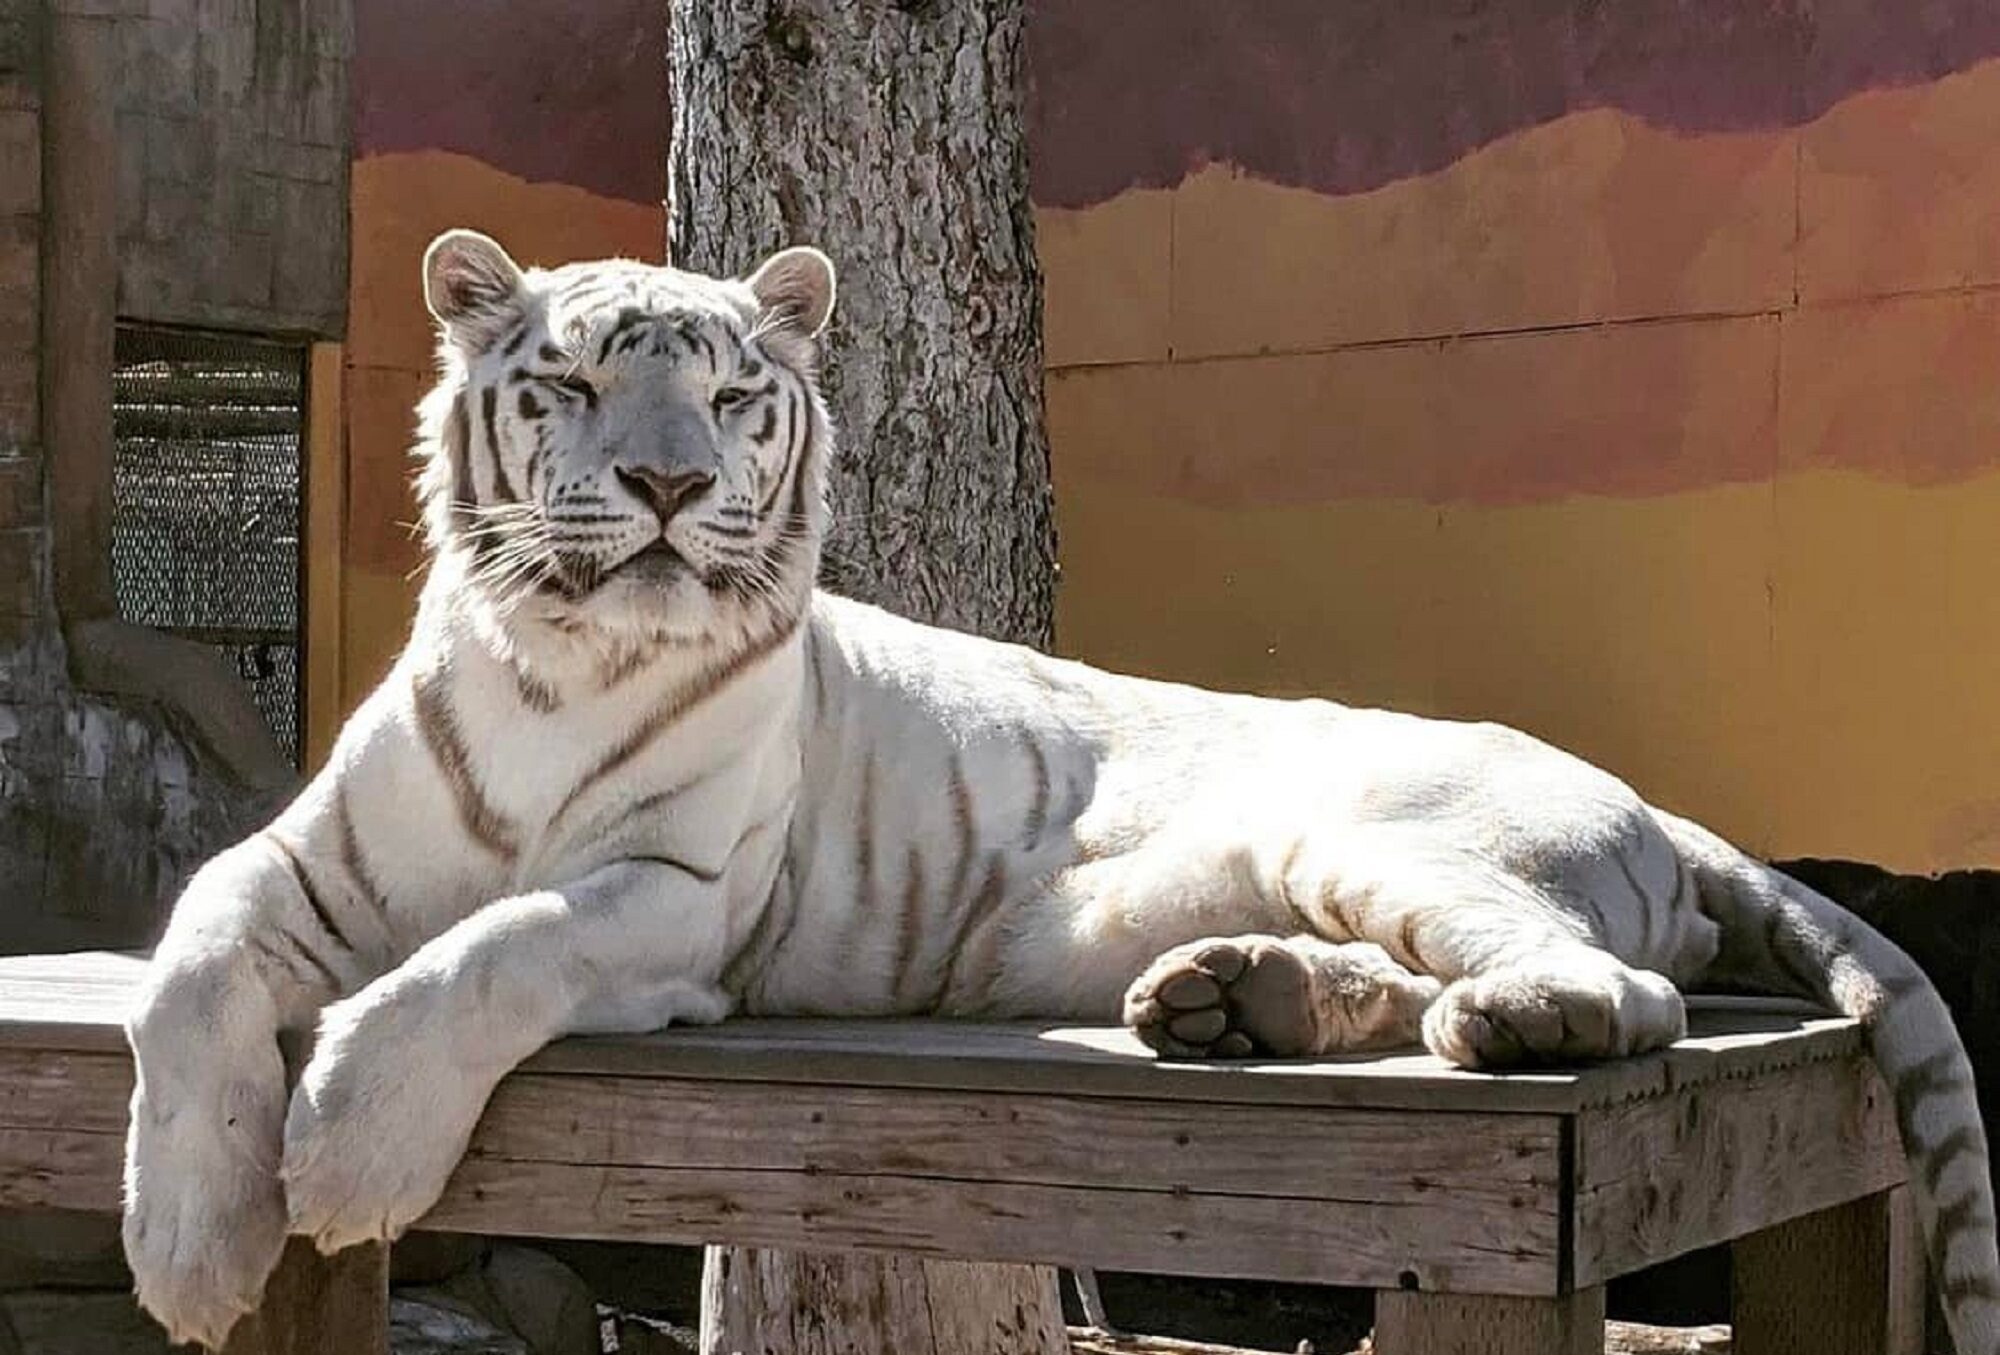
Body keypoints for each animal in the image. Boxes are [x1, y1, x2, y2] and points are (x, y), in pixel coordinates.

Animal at [125, 235, 2000, 1355]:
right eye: (576, 380)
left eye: (730, 394)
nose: (669, 482)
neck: (556, 662)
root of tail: (1653, 803)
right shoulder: (295, 863)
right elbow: (186, 973)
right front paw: (192, 1246)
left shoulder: (676, 904)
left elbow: (490, 947)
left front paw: (345, 1150)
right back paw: (1229, 1002)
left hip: (1374, 830)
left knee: (1614, 992)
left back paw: (1504, 1025)